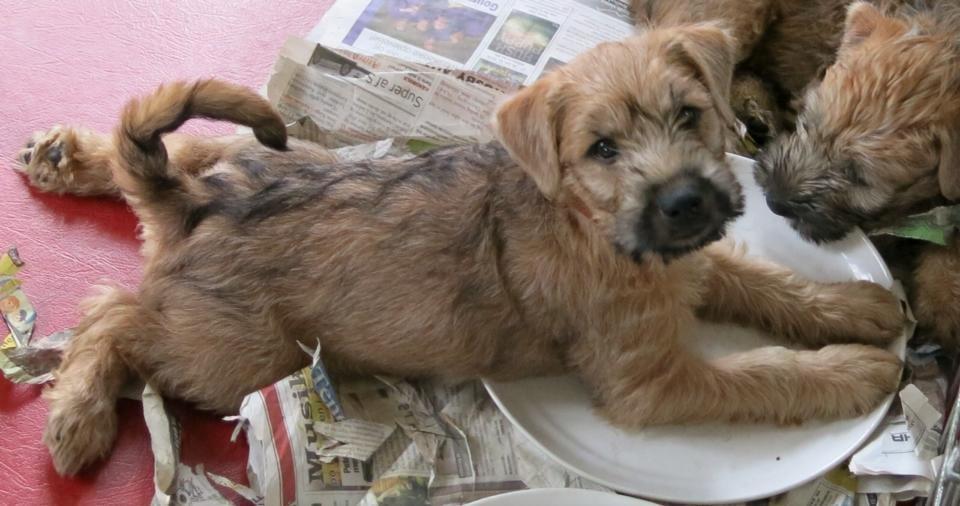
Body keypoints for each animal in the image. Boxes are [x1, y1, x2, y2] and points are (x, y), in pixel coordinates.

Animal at [13, 24, 908, 474]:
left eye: (689, 113)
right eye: (602, 150)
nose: (686, 202)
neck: (589, 223)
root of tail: (195, 208)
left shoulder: (693, 264)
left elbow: (768, 281)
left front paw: (858, 305)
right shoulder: (652, 382)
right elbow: (763, 372)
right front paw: (854, 371)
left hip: (269, 162)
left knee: (182, 157)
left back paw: (69, 158)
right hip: (232, 356)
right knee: (113, 315)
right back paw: (78, 417)